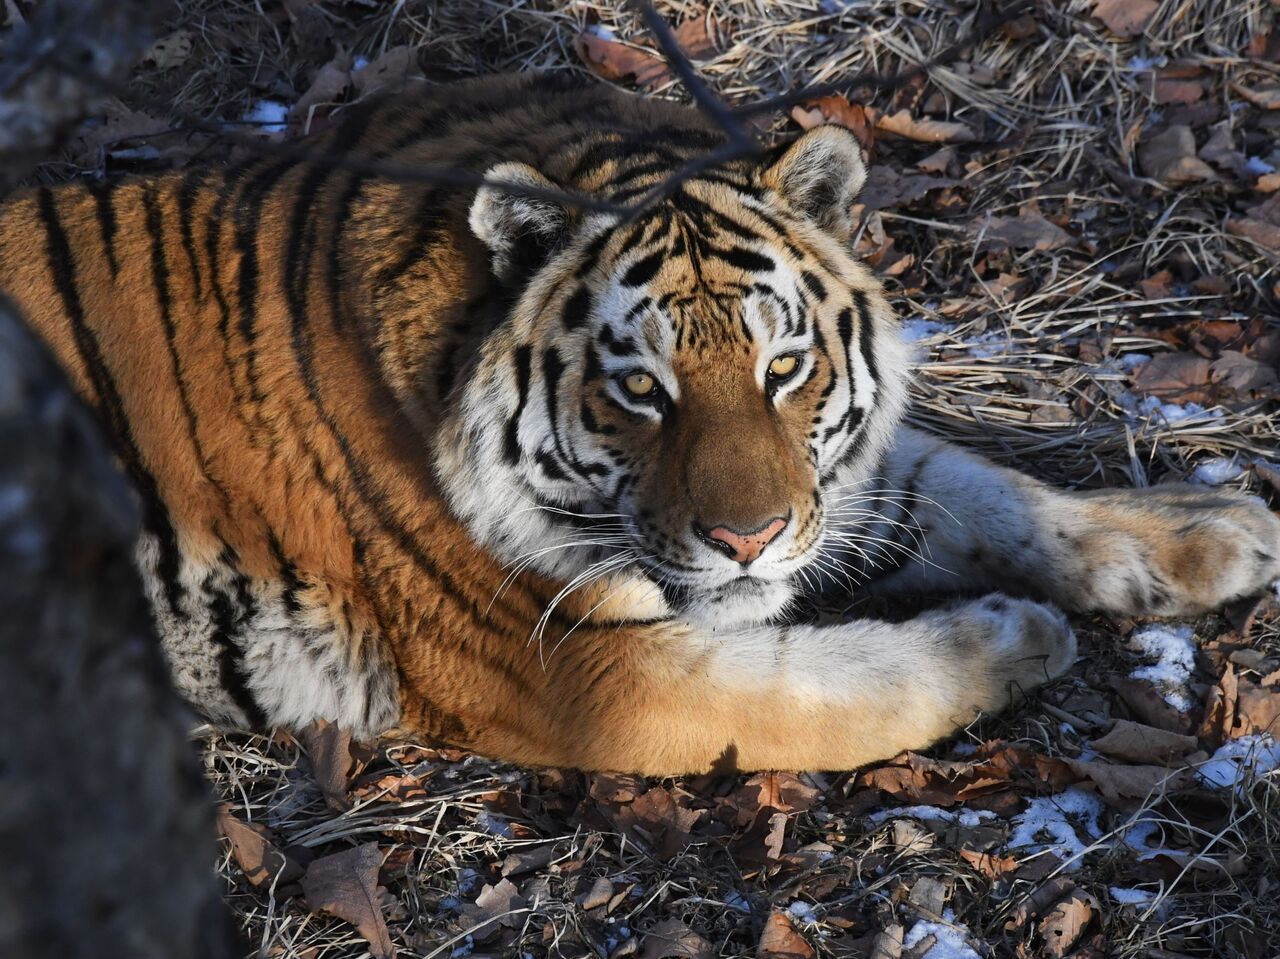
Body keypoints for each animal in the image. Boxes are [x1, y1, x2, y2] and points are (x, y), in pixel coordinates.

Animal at [0, 76, 1274, 778]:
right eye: (640, 390)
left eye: (782, 368)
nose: (748, 540)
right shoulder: (584, 666)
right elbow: (835, 689)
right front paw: (1010, 635)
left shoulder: (829, 485)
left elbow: (986, 491)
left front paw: (1211, 531)